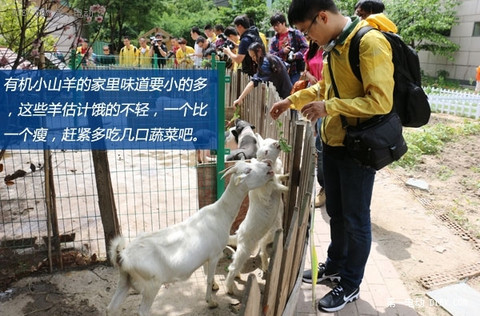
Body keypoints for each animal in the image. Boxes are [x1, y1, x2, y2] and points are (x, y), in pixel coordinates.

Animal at [107, 160, 276, 316]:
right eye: (248, 170)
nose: (268, 164)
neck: (220, 214)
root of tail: (123, 256)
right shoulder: (215, 254)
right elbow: (208, 278)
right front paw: (211, 301)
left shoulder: (207, 257)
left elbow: (208, 274)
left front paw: (215, 286)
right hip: (151, 285)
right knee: (142, 311)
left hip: (124, 281)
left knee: (111, 308)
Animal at [224, 137, 286, 296]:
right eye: (265, 151)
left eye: (271, 141)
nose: (278, 143)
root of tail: (238, 235)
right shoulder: (265, 191)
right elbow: (276, 186)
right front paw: (286, 187)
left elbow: (279, 177)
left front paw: (286, 176)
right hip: (248, 247)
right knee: (235, 265)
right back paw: (230, 289)